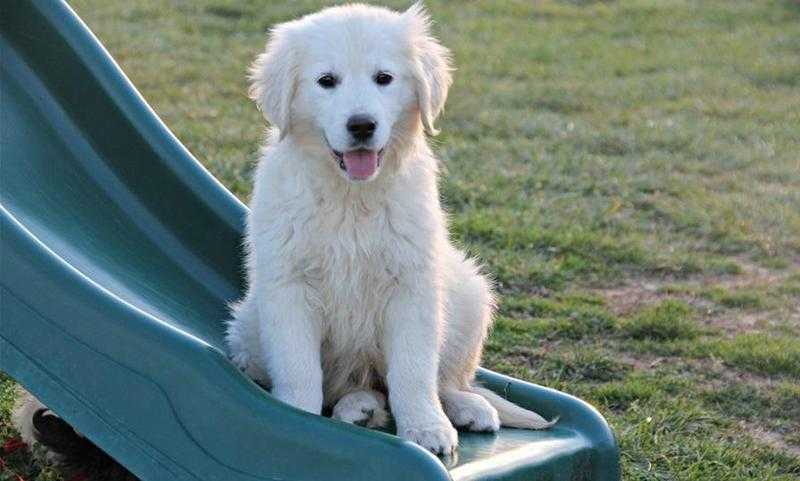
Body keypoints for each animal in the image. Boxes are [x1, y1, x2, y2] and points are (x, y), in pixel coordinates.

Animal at [222, 2, 552, 454]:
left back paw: (466, 408)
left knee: (443, 380)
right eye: (327, 81)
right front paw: (296, 420)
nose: (361, 125)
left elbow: (413, 371)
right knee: (348, 388)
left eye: (384, 78)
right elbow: (298, 368)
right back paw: (359, 409)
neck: (351, 196)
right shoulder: (288, 285)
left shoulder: (412, 284)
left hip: (468, 293)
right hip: (248, 327)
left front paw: (426, 428)